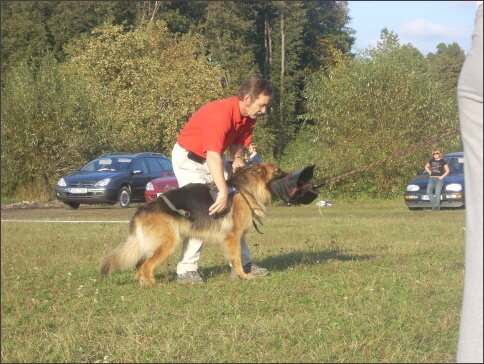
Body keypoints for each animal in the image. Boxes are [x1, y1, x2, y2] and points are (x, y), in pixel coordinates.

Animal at [99, 164, 286, 286]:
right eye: (278, 170)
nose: (290, 174)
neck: (245, 188)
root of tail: (142, 209)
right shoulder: (233, 237)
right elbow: (237, 258)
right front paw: (243, 276)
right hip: (167, 244)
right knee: (145, 265)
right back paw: (154, 285)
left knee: (139, 264)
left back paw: (143, 283)